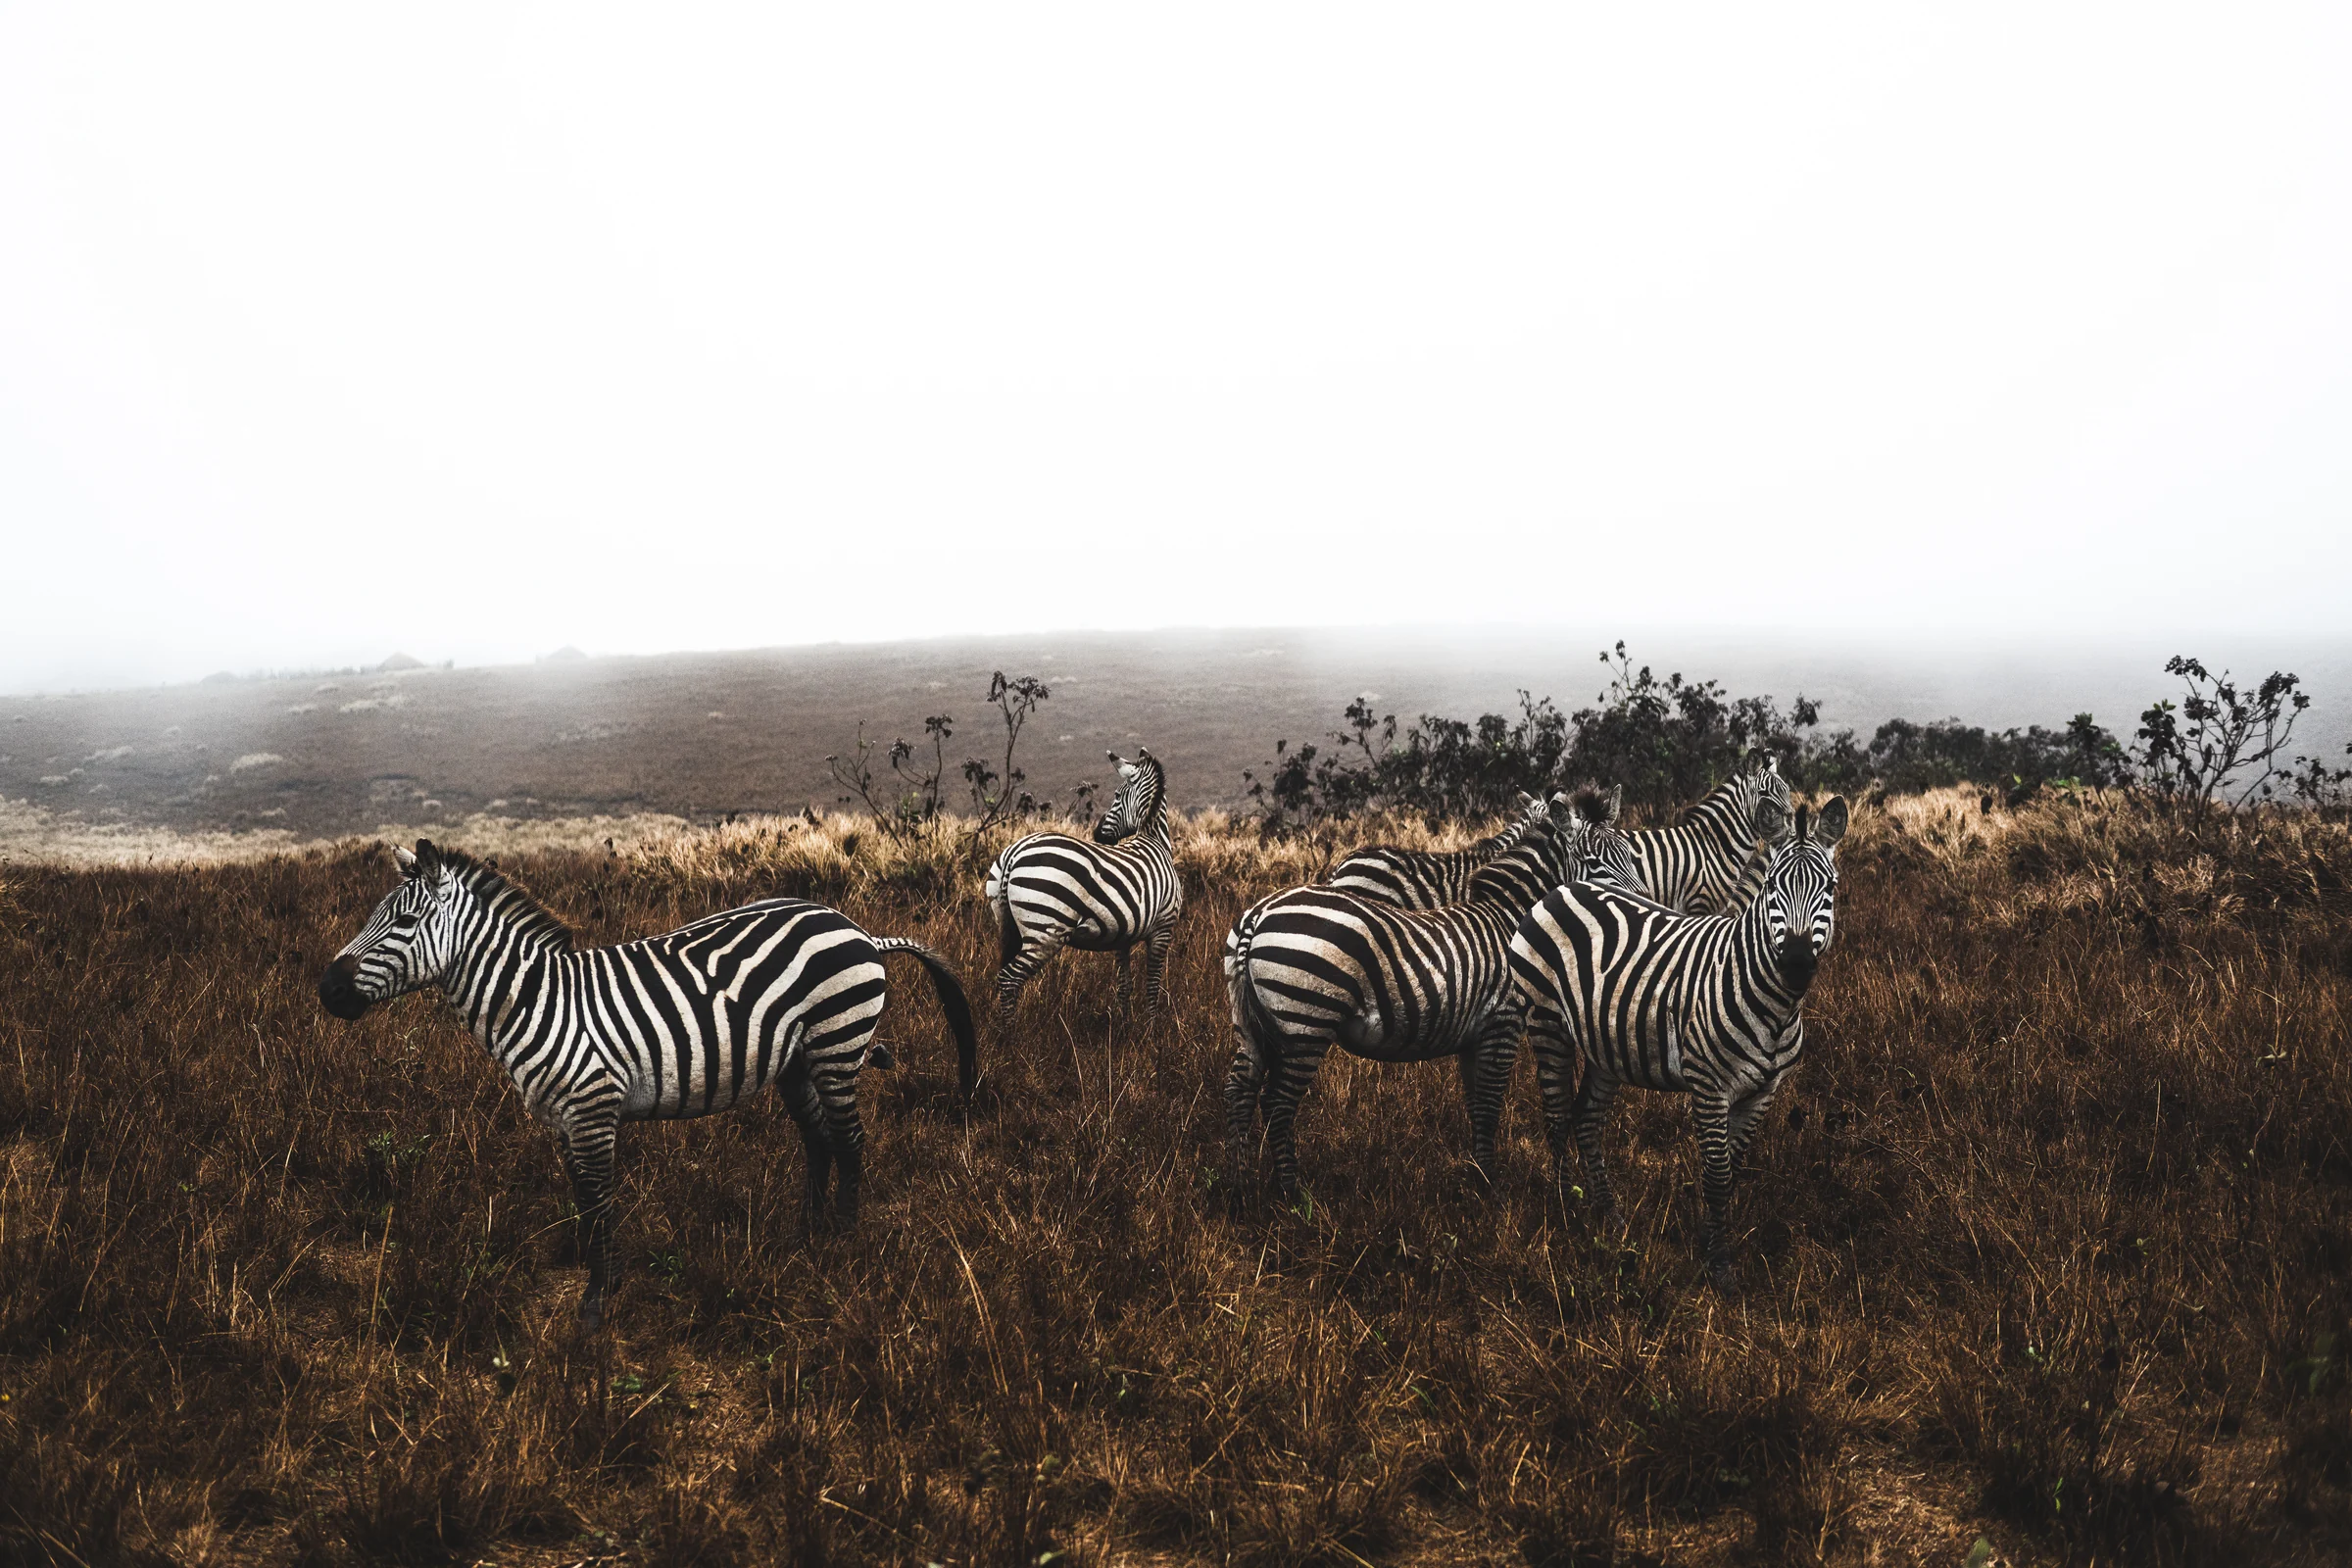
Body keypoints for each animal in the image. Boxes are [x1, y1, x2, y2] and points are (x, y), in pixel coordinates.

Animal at [317, 839, 978, 1329]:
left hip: (838, 1045)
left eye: (404, 921)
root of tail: (857, 928)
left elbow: (601, 1201)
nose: (326, 990)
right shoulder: (564, 1118)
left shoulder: (592, 1109)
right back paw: (805, 1235)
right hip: (796, 1063)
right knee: (818, 1138)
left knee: (850, 1139)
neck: (535, 1001)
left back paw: (842, 1237)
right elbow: (584, 1200)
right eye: (373, 916)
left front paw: (596, 1301)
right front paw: (594, 1274)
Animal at [986, 748, 1184, 1027]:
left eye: (1116, 796)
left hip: (1007, 923)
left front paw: (1124, 1025)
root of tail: (1014, 852)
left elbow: (1125, 984)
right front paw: (1151, 1029)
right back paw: (1010, 1033)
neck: (1153, 839)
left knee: (1004, 976)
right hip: (1046, 931)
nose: (1098, 834)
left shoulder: (1124, 935)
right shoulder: (1163, 928)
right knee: (1009, 979)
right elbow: (1153, 985)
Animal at [1507, 796, 1846, 1287]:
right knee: (1555, 1118)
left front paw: (1708, 1242)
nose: (1798, 963)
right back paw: (1568, 1214)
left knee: (1587, 1120)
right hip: (1547, 1022)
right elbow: (1718, 1176)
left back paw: (1609, 1215)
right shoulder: (1708, 1086)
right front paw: (1718, 1266)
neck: (1776, 1008)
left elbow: (1733, 1171)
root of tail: (1564, 888)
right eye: (1771, 889)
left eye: (1831, 889)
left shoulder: (1764, 1092)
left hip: (1607, 1044)